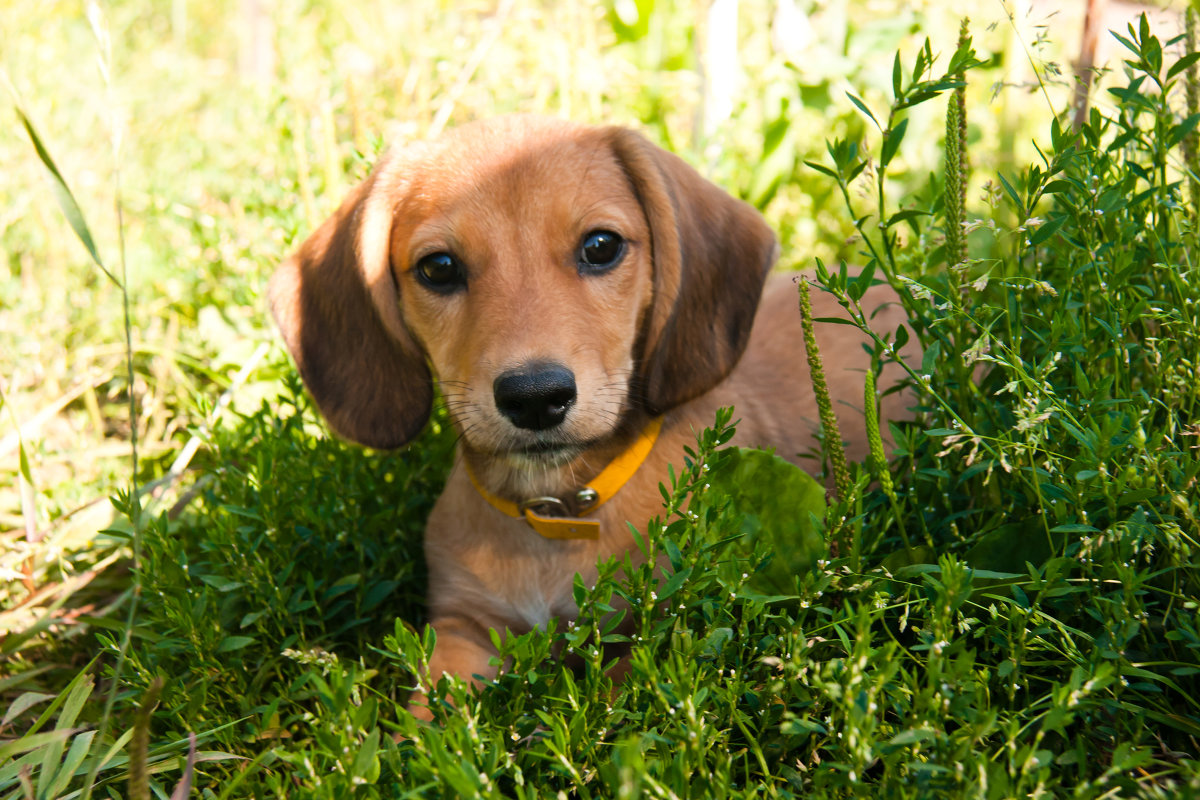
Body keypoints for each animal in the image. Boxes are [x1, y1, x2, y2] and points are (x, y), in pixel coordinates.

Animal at [270, 113, 907, 719]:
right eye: (439, 267)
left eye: (601, 246)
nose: (535, 398)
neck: (556, 512)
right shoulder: (463, 626)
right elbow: (432, 726)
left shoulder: (661, 630)